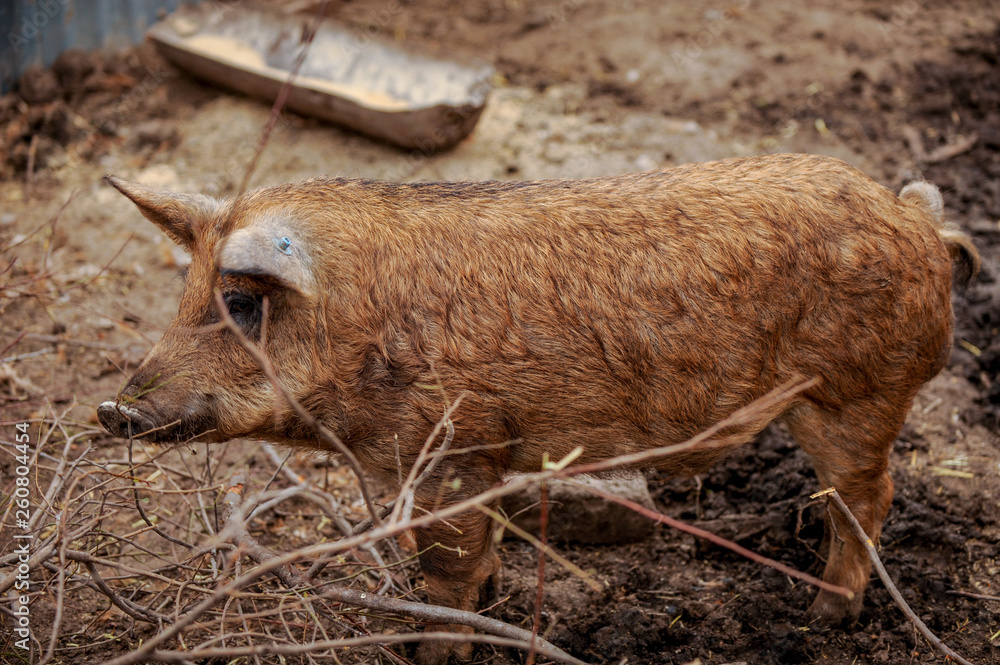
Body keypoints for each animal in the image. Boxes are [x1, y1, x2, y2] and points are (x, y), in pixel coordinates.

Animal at [98, 153, 978, 665]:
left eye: (242, 301)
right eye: (183, 292)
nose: (111, 409)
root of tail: (921, 221)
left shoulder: (457, 442)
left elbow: (445, 563)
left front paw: (437, 651)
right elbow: (473, 552)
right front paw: (488, 606)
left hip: (855, 394)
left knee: (866, 496)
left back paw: (823, 617)